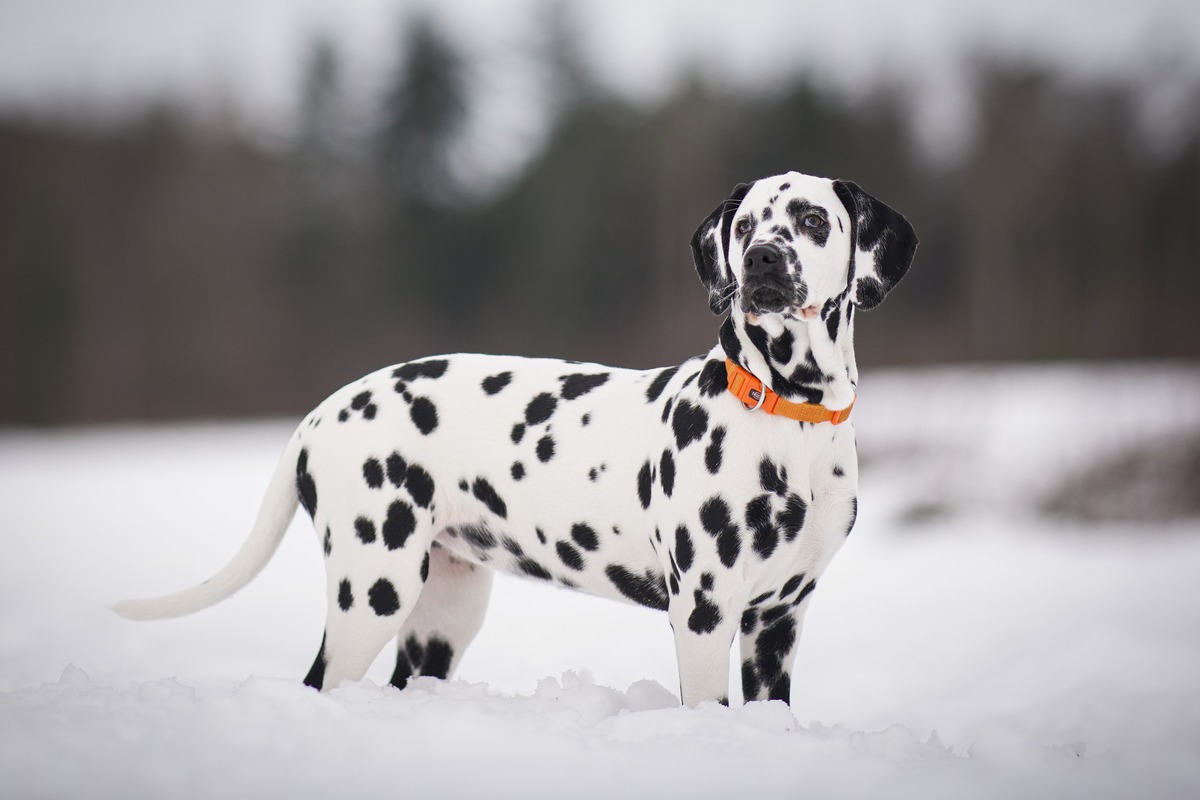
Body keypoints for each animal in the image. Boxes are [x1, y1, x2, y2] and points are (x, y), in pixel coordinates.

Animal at [114, 170, 916, 705]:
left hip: (442, 616)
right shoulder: (704, 609)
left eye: (812, 220)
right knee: (321, 680)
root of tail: (320, 413)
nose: (762, 262)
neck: (789, 419)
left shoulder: (778, 620)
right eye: (747, 225)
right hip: (372, 590)